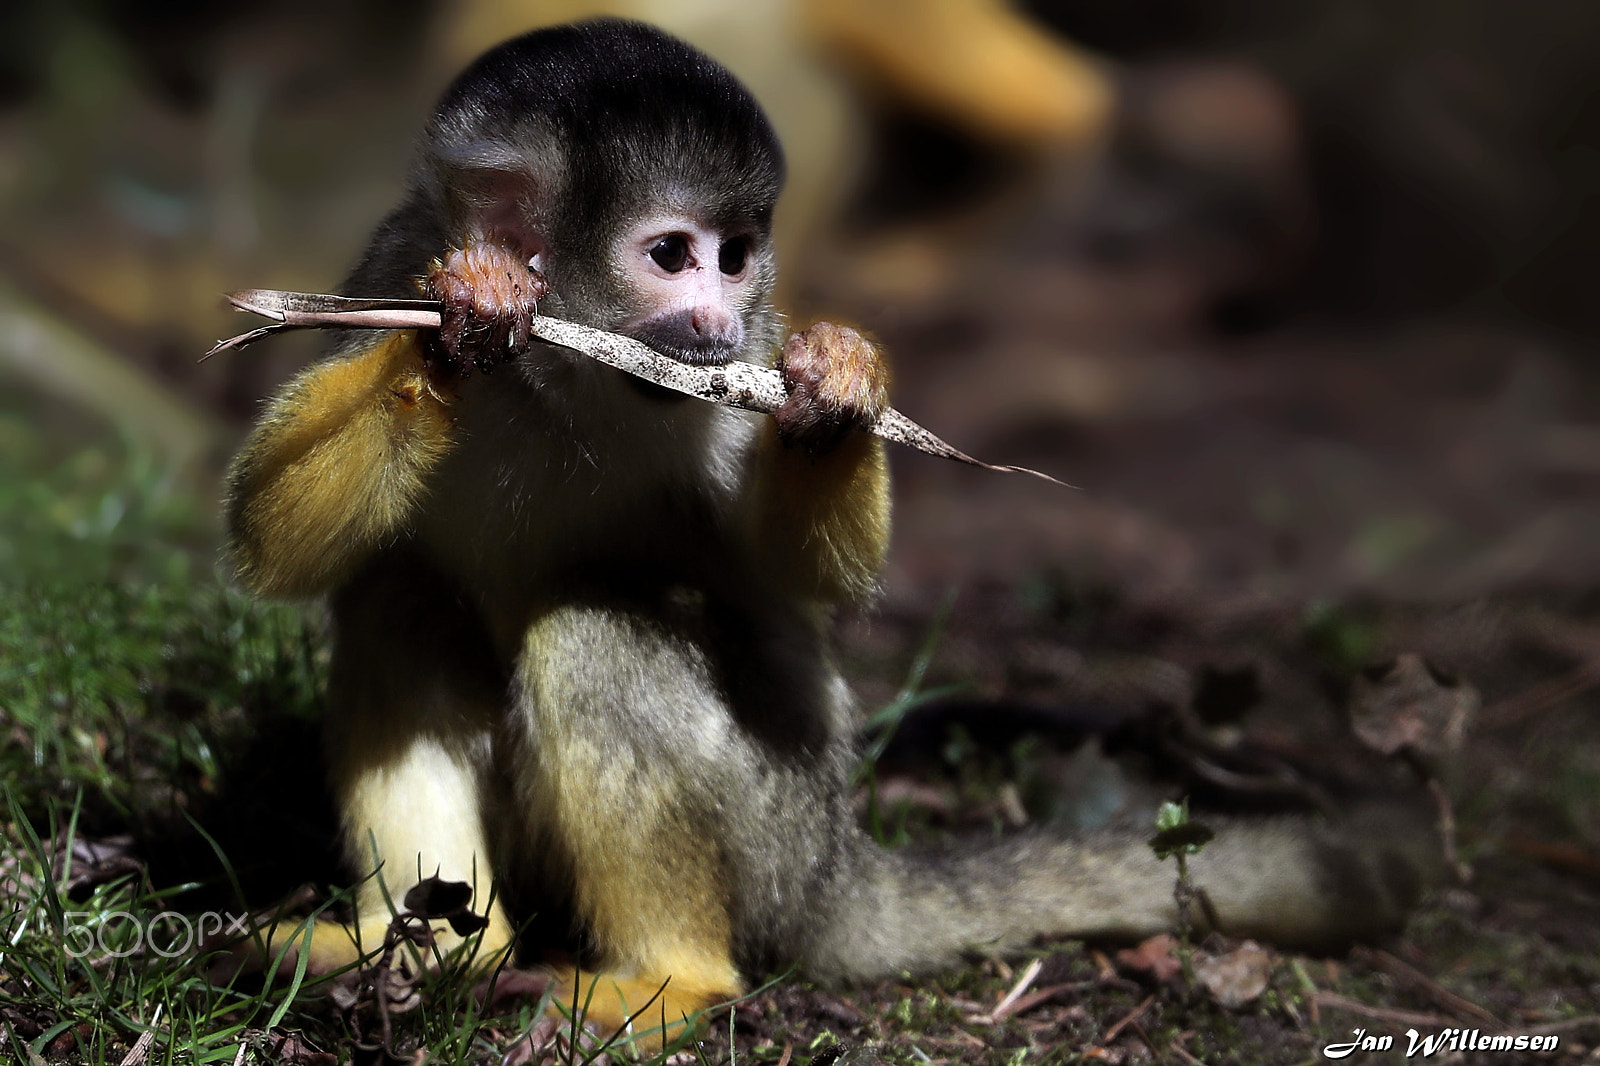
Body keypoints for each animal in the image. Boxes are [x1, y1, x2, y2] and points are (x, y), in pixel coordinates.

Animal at [222, 18, 1427, 1037]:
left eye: (741, 253)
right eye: (673, 255)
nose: (713, 316)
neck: (567, 373)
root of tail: (840, 861)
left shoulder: (745, 353)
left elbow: (800, 588)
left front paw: (840, 393)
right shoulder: (390, 264)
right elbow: (276, 546)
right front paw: (463, 319)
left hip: (775, 833)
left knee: (593, 635)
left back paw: (675, 976)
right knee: (397, 600)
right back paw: (431, 952)